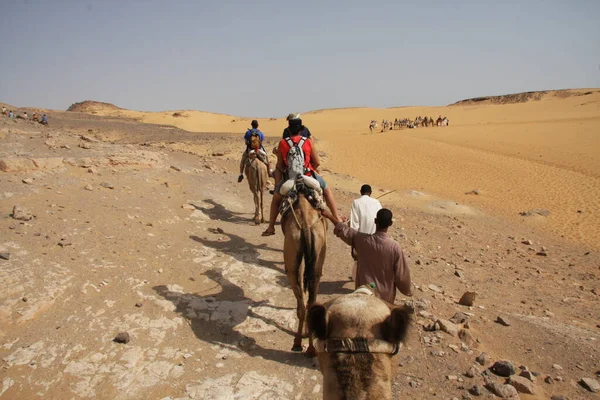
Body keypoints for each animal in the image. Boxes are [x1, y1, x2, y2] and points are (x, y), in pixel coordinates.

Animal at [282, 195, 328, 354]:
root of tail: (307, 225)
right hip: (319, 252)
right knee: (311, 301)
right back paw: (311, 348)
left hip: (291, 250)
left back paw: (297, 343)